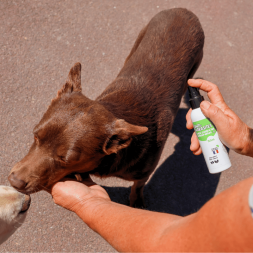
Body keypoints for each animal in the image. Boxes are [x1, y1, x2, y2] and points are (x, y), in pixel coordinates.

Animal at [8, 8, 205, 208]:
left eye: (65, 160)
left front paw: (136, 202)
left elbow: (138, 186)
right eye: (35, 136)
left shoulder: (144, 174)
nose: (15, 182)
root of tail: (182, 10)